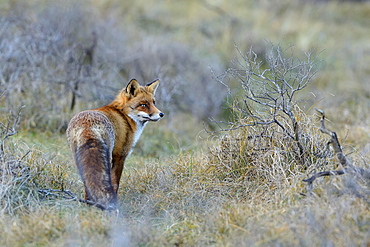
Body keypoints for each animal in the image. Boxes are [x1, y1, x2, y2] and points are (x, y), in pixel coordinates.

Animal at [66, 79, 163, 210]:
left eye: (154, 103)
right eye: (143, 105)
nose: (161, 114)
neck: (125, 116)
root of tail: (87, 126)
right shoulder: (120, 156)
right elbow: (115, 182)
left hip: (78, 158)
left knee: (87, 182)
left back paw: (89, 204)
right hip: (106, 157)